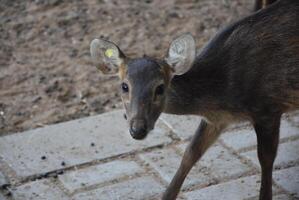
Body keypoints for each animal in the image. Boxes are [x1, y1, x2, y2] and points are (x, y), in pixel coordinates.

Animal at [90, 0, 298, 199]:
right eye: (124, 86)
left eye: (160, 88)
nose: (137, 129)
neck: (224, 91)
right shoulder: (217, 120)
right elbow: (190, 153)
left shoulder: (268, 107)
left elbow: (266, 158)